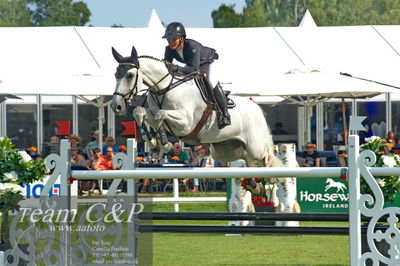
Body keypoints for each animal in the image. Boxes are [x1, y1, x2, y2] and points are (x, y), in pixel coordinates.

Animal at [109, 45, 278, 166]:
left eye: (130, 75)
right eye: (115, 75)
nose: (116, 106)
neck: (164, 87)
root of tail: (257, 108)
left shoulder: (186, 123)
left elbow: (160, 114)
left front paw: (165, 145)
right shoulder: (152, 111)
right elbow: (140, 112)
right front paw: (154, 143)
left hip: (256, 148)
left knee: (266, 159)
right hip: (227, 150)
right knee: (249, 162)